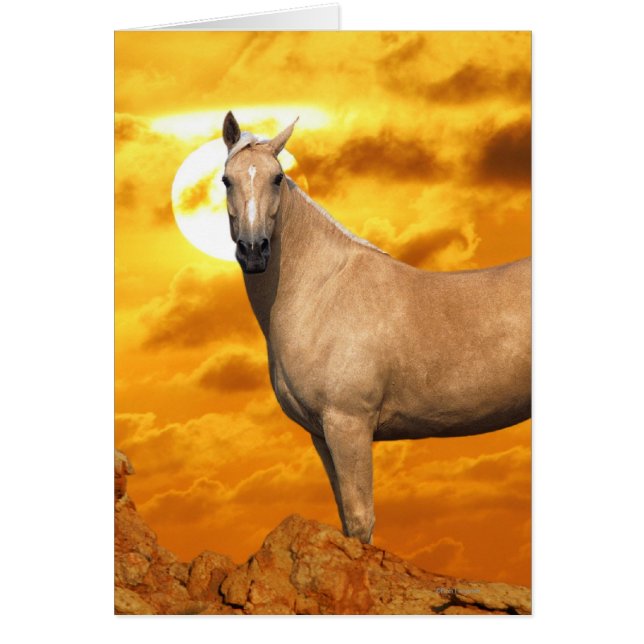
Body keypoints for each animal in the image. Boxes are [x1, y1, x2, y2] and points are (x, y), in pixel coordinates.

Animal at [220, 111, 531, 544]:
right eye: (226, 179)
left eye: (277, 177)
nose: (253, 251)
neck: (322, 291)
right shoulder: (322, 435)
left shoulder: (348, 425)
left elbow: (360, 520)